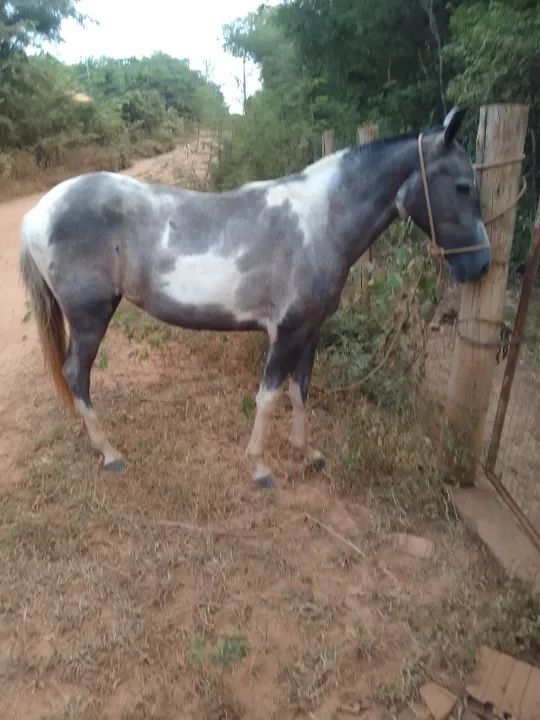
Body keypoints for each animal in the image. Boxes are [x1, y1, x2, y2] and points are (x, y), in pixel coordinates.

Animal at [20, 107, 490, 488]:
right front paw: (261, 469)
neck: (319, 223)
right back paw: (110, 454)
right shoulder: (285, 333)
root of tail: (38, 213)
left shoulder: (310, 331)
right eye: (463, 186)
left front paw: (308, 453)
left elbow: (301, 391)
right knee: (76, 373)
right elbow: (268, 397)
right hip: (90, 316)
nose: (482, 264)